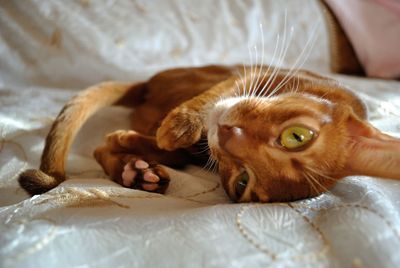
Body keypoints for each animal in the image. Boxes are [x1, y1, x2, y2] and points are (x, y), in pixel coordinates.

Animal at [18, 65, 400, 201]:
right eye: (297, 136)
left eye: (242, 182)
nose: (228, 133)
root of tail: (147, 85)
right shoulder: (249, 76)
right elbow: (209, 101)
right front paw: (181, 124)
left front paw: (130, 144)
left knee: (107, 149)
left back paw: (137, 171)